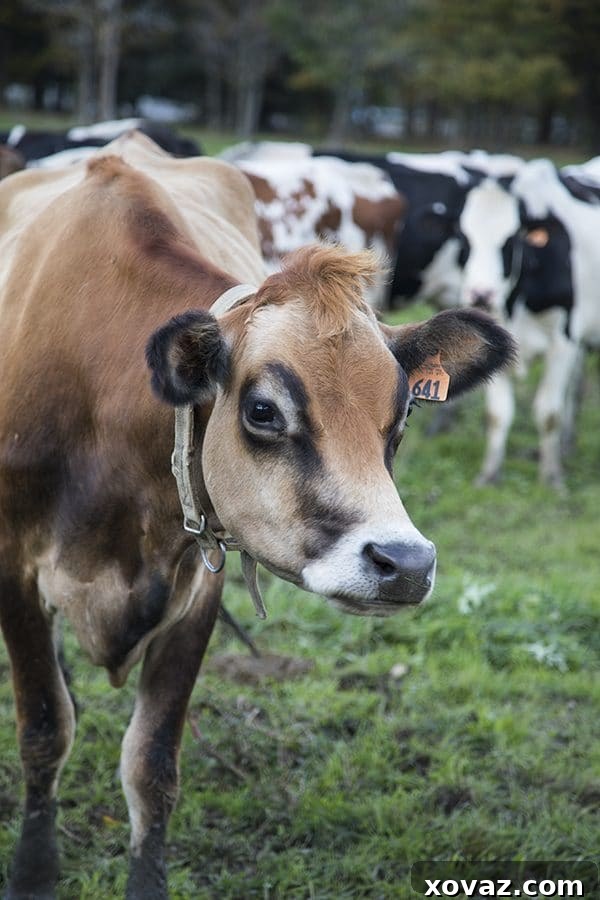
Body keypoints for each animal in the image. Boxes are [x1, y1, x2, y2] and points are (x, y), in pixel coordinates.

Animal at [457, 158, 600, 486]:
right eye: (465, 238)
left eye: (510, 241)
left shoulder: (563, 343)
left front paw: (551, 476)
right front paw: (489, 473)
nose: (480, 294)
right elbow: (498, 414)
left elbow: (548, 412)